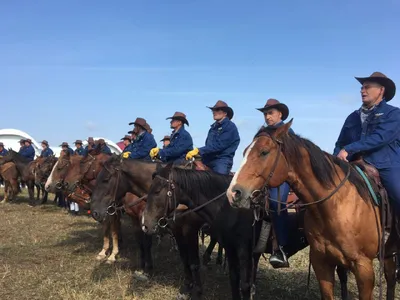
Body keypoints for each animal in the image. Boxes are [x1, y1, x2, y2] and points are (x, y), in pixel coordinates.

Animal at [227, 120, 398, 300]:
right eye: (244, 151)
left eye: (264, 152)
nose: (233, 193)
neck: (337, 207)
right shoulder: (321, 262)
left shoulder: (364, 268)